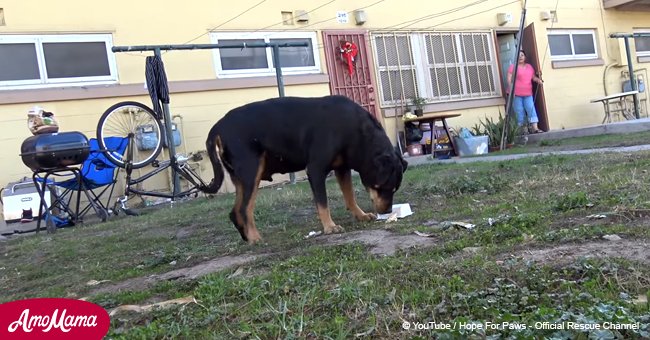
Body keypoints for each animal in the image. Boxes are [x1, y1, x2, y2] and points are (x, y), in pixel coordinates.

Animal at [200, 95, 408, 244]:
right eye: (380, 187)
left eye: (395, 189)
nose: (388, 210)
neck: (355, 132)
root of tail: (218, 126)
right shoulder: (316, 169)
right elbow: (322, 202)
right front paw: (330, 227)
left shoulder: (342, 168)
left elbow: (350, 196)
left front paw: (361, 215)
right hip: (252, 171)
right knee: (245, 209)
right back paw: (255, 238)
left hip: (240, 178)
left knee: (235, 211)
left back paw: (247, 238)